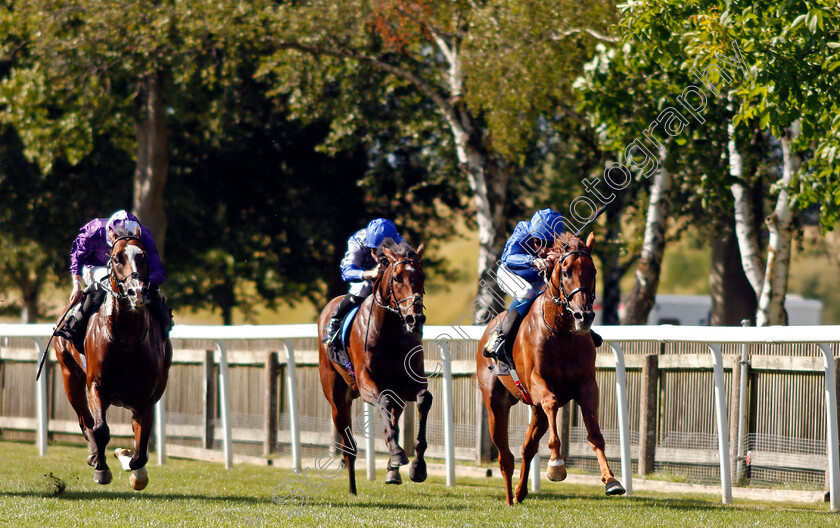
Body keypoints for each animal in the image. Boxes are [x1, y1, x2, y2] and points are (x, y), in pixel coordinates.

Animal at [53, 226, 172, 490]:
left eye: (143, 256)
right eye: (117, 258)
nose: (137, 292)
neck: (126, 339)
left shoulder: (146, 397)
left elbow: (140, 452)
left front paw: (128, 461)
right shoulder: (97, 386)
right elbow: (101, 429)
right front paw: (101, 467)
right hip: (70, 376)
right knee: (85, 421)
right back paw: (95, 456)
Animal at [316, 239, 434, 496]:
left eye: (422, 276)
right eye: (397, 278)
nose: (415, 318)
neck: (389, 331)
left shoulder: (409, 382)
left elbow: (424, 399)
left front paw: (418, 466)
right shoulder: (366, 382)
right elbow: (384, 403)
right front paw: (398, 454)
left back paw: (392, 472)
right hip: (337, 397)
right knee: (349, 445)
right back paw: (353, 488)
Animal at [476, 231, 620, 504]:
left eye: (593, 271)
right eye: (566, 271)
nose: (584, 316)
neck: (561, 333)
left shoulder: (587, 385)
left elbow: (595, 434)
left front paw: (611, 480)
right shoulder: (537, 383)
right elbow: (552, 402)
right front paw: (556, 465)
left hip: (535, 410)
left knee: (527, 447)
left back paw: (520, 492)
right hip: (495, 405)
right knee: (505, 456)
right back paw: (510, 497)